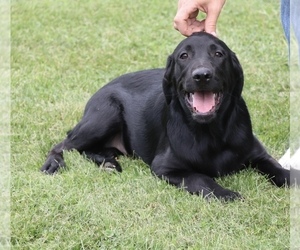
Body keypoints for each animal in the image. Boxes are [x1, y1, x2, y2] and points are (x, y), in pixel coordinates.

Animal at [41, 32, 290, 201]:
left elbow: (277, 169)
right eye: (184, 56)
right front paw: (226, 194)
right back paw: (55, 164)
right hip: (105, 115)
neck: (211, 132)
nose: (202, 76)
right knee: (64, 144)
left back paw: (108, 162)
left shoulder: (256, 153)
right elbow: (201, 178)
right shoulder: (164, 167)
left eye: (218, 54)